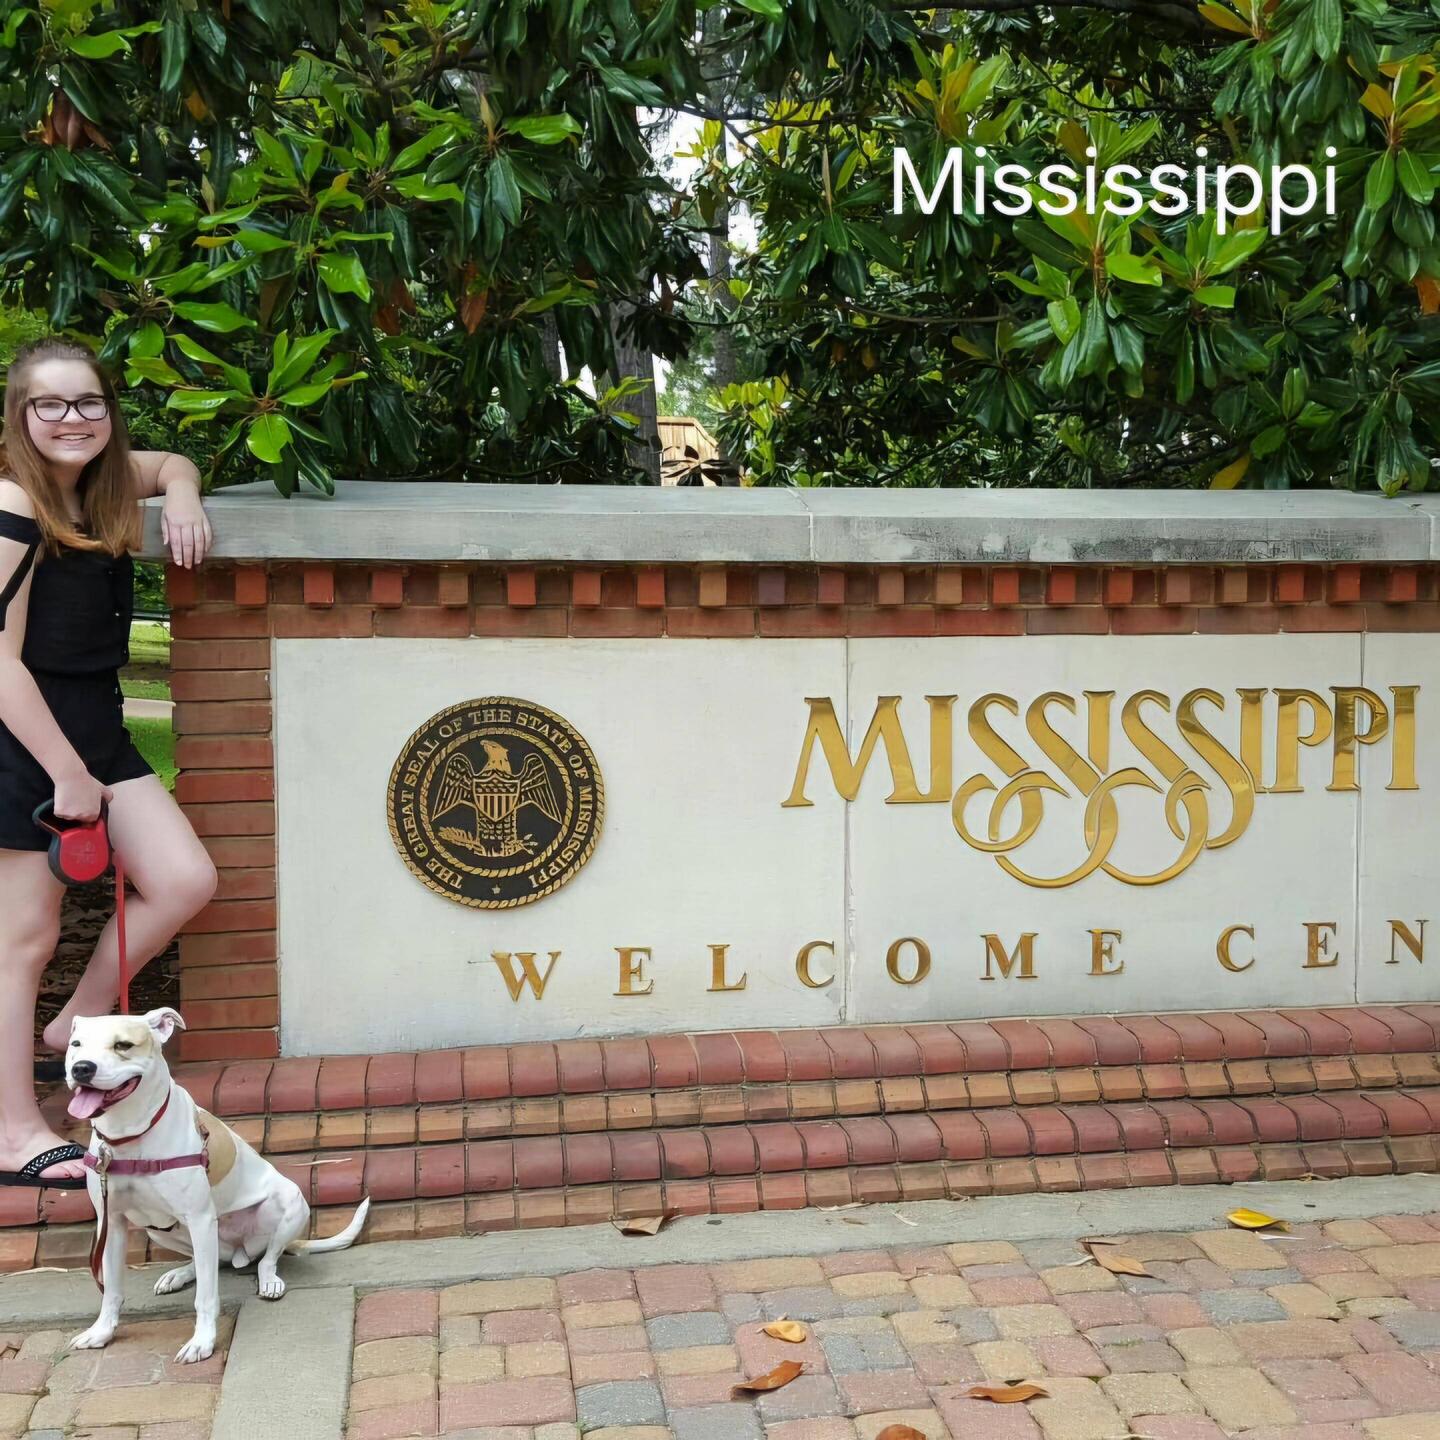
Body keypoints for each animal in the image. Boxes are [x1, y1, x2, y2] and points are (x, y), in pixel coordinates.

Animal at [66, 1008, 370, 1363]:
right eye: (76, 1044)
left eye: (123, 1045)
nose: (81, 1068)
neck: (128, 1135)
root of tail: (238, 1251)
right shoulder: (111, 1222)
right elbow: (111, 1290)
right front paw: (101, 1332)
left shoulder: (199, 1218)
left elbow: (207, 1297)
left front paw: (202, 1342)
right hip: (160, 1230)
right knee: (206, 1262)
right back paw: (179, 1274)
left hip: (290, 1202)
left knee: (266, 1258)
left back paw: (269, 1280)